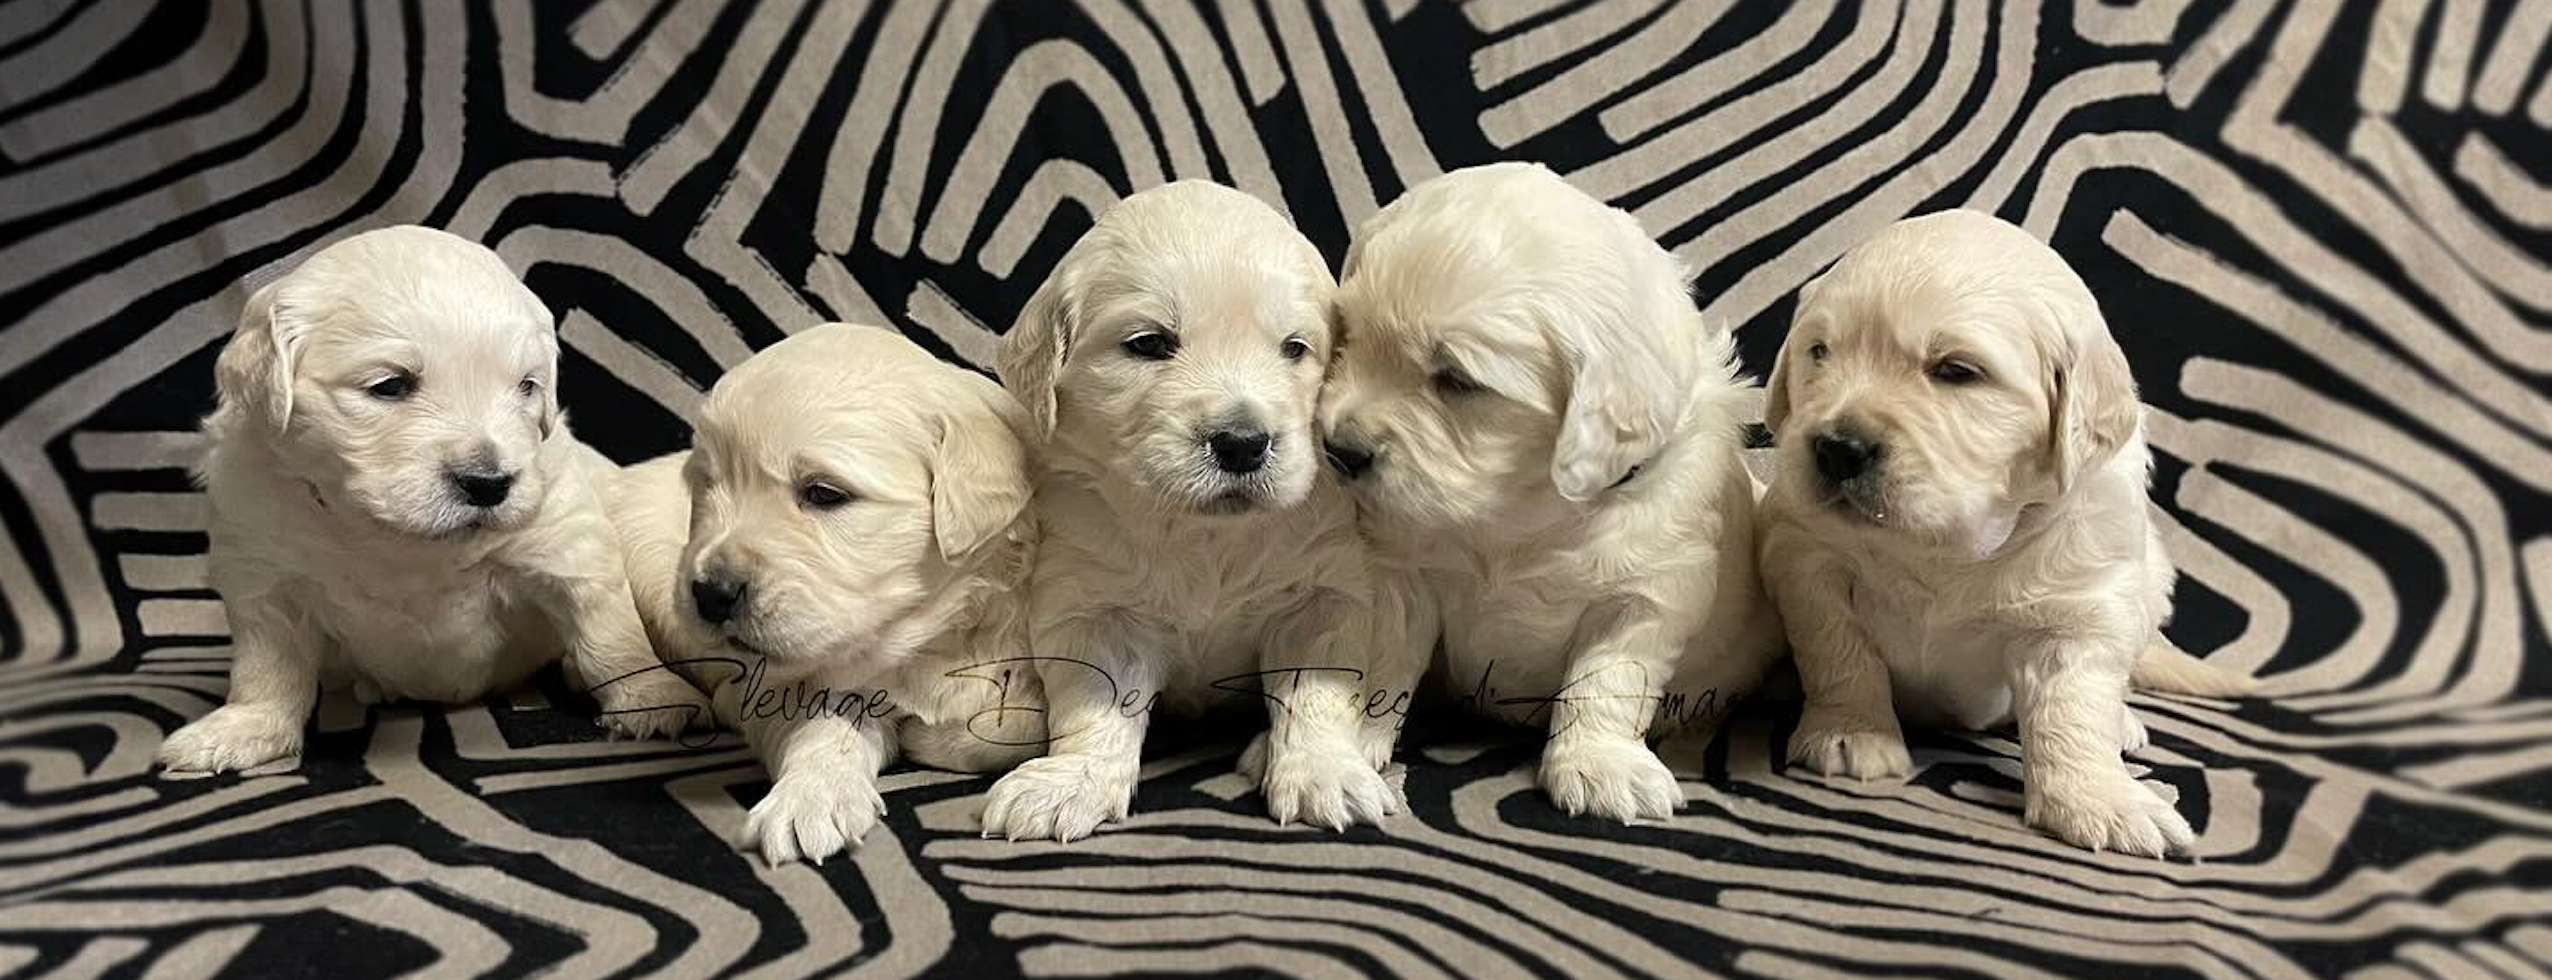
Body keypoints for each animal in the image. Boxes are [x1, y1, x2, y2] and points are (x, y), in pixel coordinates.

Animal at [154, 224, 714, 775]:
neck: (391, 538)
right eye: (390, 385)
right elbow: (267, 664)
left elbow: (607, 627)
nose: (490, 482)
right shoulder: (262, 566)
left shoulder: (564, 537)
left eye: (527, 386)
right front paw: (244, 728)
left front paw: (654, 696)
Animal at [609, 324, 1046, 867]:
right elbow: (821, 722)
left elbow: (1012, 725)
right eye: (707, 486)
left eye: (824, 493)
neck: (929, 634)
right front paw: (809, 798)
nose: (711, 593)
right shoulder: (758, 687)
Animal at [974, 179, 1429, 837]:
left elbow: (1313, 691)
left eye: (1295, 349)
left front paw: (1323, 773)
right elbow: (1097, 701)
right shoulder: (1091, 603)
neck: (1204, 536)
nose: (1242, 442)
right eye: (1149, 344)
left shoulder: (1324, 594)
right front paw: (1070, 782)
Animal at [1316, 164, 1776, 821]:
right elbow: (1382, 659)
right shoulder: (1400, 571)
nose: (1339, 450)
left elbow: (1605, 680)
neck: (1515, 510)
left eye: (1457, 380)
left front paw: (1599, 767)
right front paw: (1349, 745)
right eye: (1348, 334)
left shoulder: (1646, 593)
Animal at [1755, 210, 2255, 852]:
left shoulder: (2081, 611)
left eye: (1956, 371)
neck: (1947, 549)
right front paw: (1851, 733)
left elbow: (2072, 707)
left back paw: (2123, 723)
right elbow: (1841, 653)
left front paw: (2098, 799)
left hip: (2152, 583)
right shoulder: (1807, 559)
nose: (1837, 448)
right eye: (1820, 351)